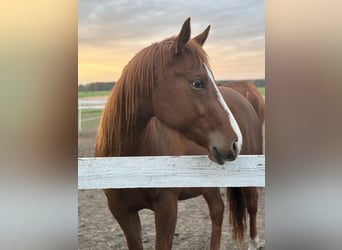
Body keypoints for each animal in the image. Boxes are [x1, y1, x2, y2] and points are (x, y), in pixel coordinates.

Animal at [95, 18, 264, 250]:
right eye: (198, 82)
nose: (235, 142)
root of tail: (243, 95)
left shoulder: (167, 208)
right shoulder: (122, 212)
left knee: (252, 203)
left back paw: (254, 242)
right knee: (217, 210)